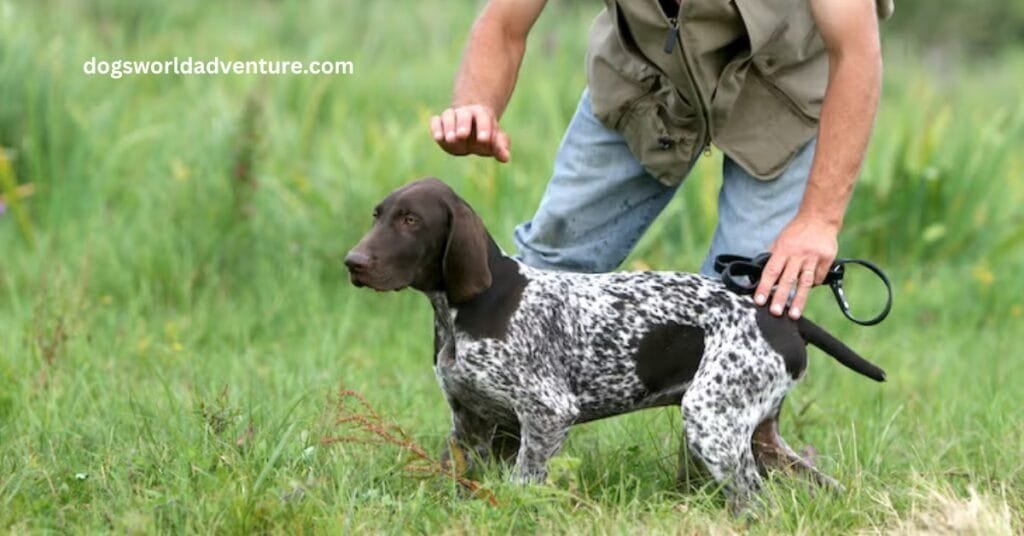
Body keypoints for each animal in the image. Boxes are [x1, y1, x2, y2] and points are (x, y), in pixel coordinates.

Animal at [346, 177, 888, 512]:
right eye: (377, 215)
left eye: (411, 221)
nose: (353, 261)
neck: (468, 309)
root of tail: (774, 314)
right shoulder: (470, 424)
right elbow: (455, 479)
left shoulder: (547, 413)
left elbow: (524, 482)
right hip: (758, 436)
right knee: (814, 485)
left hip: (712, 422)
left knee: (756, 501)